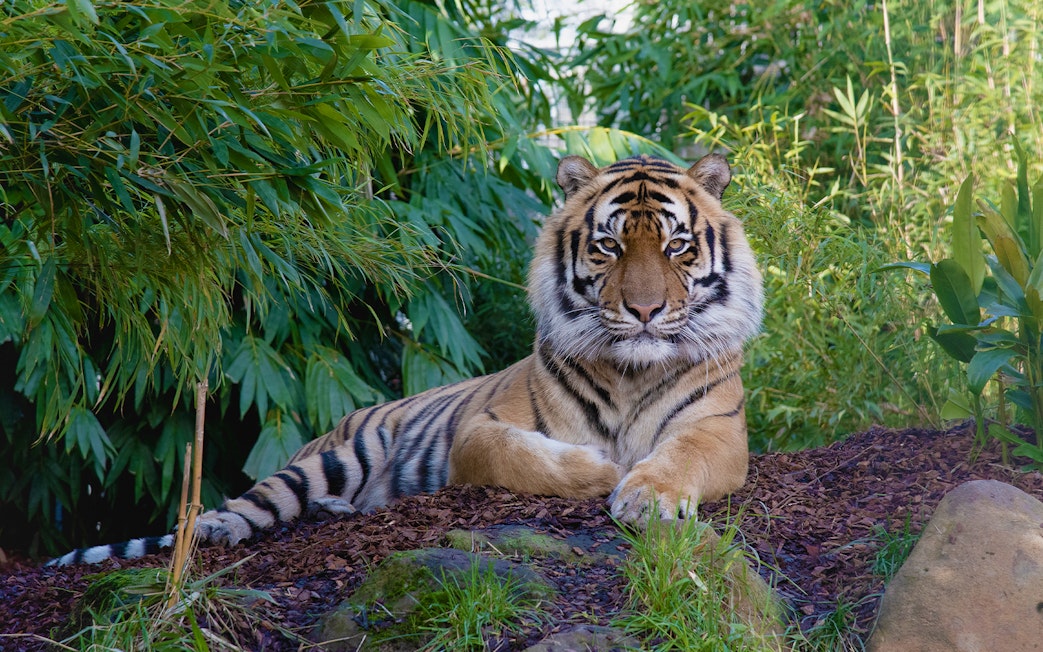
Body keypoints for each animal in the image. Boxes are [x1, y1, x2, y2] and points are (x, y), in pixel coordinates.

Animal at [49, 153, 764, 566]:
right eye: (609, 246)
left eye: (676, 246)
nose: (644, 310)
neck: (630, 370)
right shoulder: (481, 429)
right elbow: (523, 456)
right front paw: (601, 470)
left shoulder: (717, 431)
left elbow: (679, 458)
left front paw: (644, 495)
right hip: (333, 456)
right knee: (252, 501)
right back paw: (222, 529)